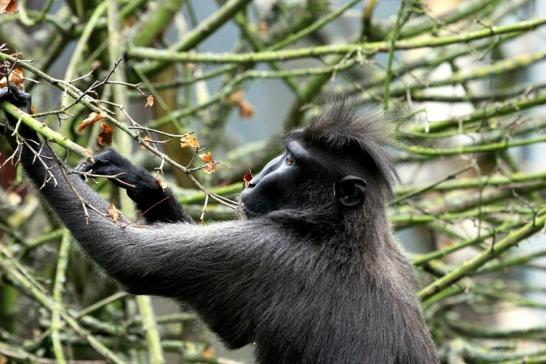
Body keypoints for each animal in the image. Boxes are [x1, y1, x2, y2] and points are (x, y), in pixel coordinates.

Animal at [1, 85, 438, 364]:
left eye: (291, 161)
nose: (258, 177)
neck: (343, 230)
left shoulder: (270, 252)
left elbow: (128, 257)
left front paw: (26, 135)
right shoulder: (399, 256)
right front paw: (142, 182)